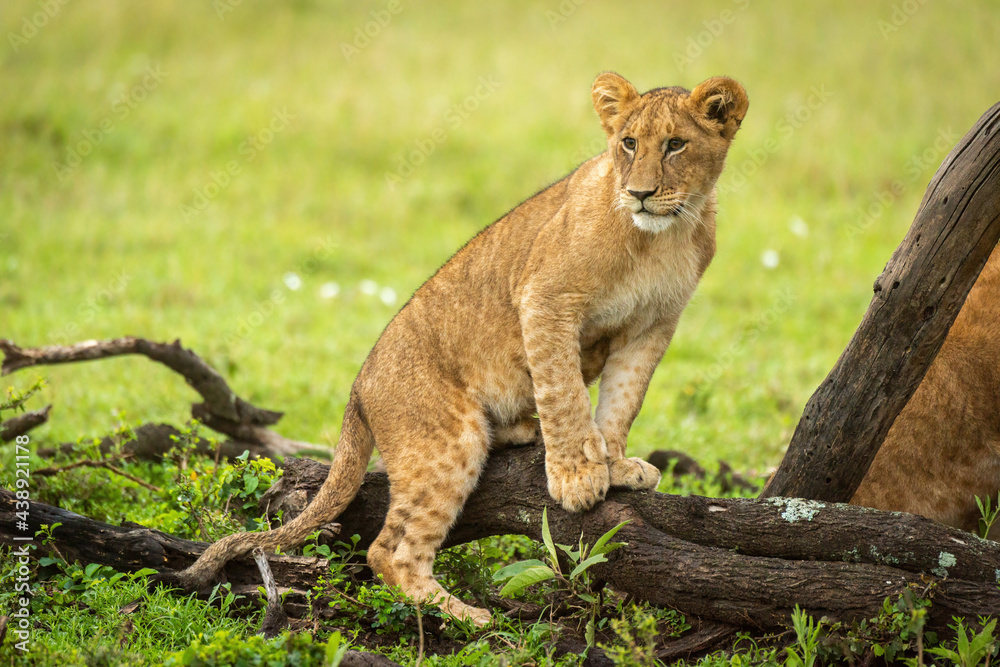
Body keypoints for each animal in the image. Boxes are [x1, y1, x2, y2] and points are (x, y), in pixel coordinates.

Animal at [161, 72, 749, 625]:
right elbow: (564, 394)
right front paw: (577, 479)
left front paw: (618, 462)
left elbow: (622, 402)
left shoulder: (653, 327)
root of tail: (358, 386)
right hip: (446, 442)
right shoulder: (546, 299)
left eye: (675, 145)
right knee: (390, 552)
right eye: (628, 143)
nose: (640, 193)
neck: (662, 237)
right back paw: (466, 616)